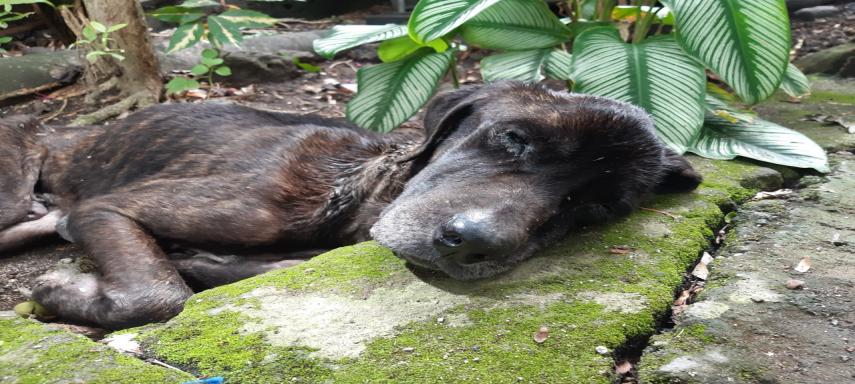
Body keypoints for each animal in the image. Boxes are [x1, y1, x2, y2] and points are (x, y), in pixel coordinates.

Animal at [0, 82, 704, 328]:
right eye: (514, 138)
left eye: (592, 210)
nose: (476, 244)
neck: (357, 194)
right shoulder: (109, 210)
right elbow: (157, 293)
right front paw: (59, 294)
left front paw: (206, 263)